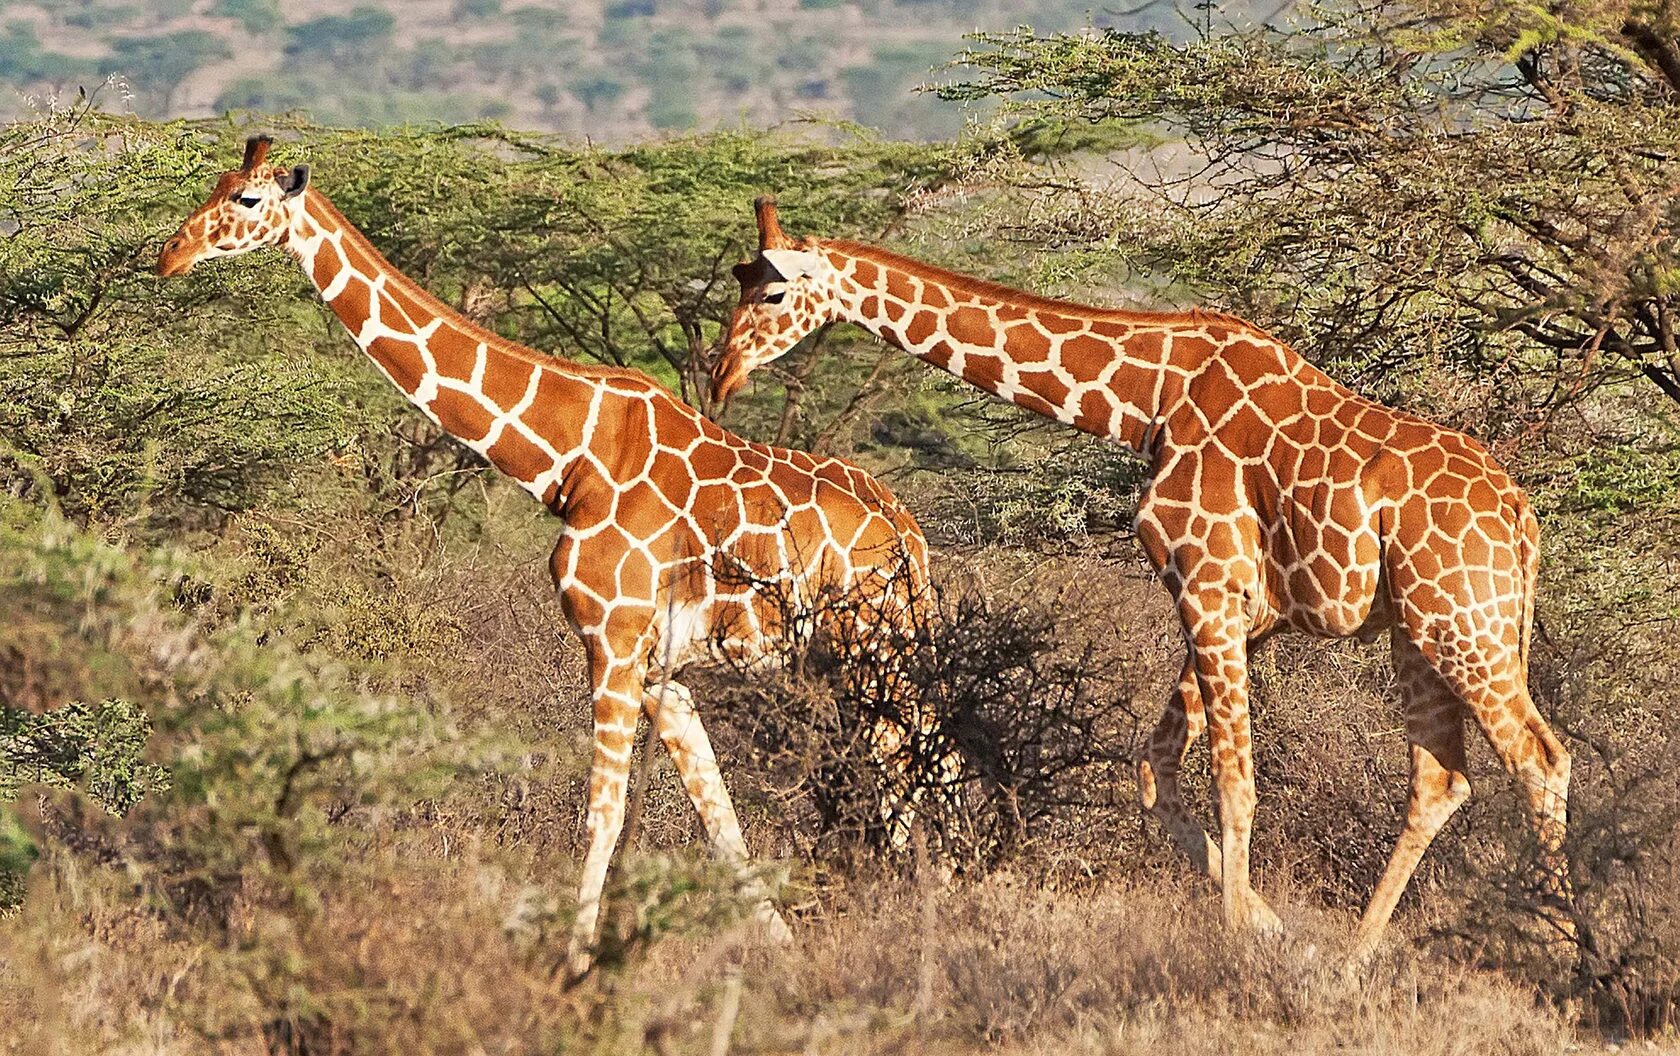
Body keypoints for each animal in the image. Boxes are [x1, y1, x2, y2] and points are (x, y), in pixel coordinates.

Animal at [151, 137, 940, 973]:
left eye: (245, 201)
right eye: (216, 183)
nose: (170, 255)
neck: (569, 457)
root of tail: (912, 537)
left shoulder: (612, 637)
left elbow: (603, 817)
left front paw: (573, 966)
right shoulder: (661, 669)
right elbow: (719, 821)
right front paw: (782, 953)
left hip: (870, 645)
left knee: (911, 766)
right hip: (865, 650)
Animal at [708, 195, 1572, 953]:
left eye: (774, 291)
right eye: (736, 285)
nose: (721, 377)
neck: (1147, 399)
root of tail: (1522, 517)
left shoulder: (1209, 585)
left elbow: (1233, 779)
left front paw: (1237, 936)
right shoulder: (1239, 610)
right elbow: (1155, 769)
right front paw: (1267, 923)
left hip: (1462, 622)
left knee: (1540, 759)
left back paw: (1560, 949)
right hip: (1419, 629)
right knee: (1440, 779)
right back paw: (1360, 953)